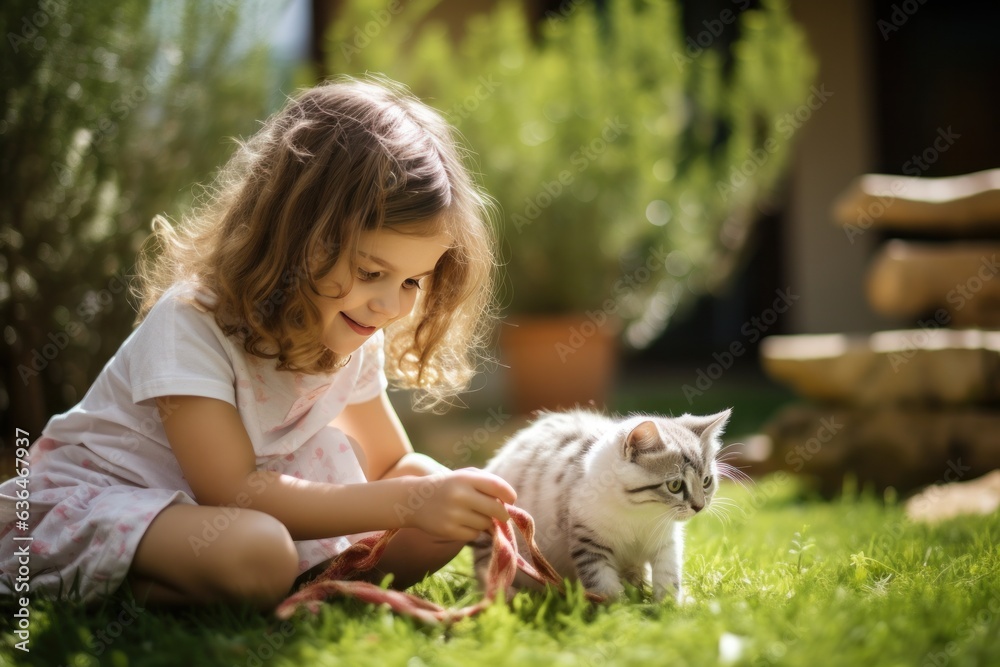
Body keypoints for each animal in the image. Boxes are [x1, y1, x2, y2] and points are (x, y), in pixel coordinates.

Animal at [472, 410, 732, 604]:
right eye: (675, 485)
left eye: (706, 482)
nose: (699, 506)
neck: (641, 514)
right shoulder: (588, 543)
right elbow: (603, 584)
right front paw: (617, 612)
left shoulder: (666, 542)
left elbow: (668, 575)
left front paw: (669, 606)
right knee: (487, 569)